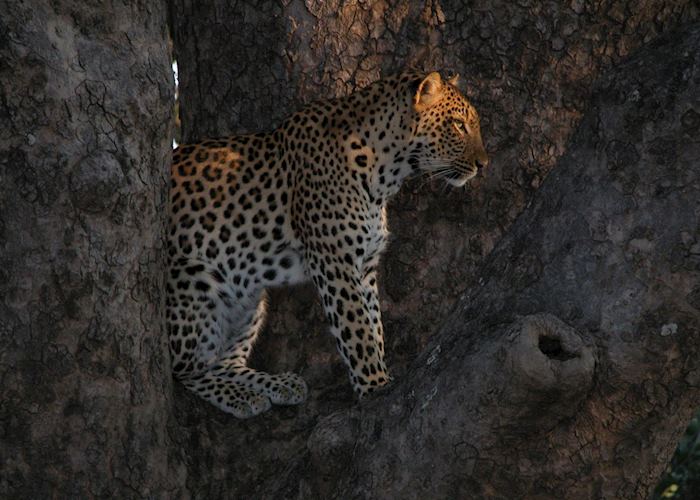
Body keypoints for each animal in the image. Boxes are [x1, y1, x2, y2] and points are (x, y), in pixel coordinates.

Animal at [167, 69, 490, 414]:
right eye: (459, 125)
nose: (483, 164)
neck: (385, 173)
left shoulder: (364, 266)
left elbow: (374, 324)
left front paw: (382, 375)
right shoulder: (334, 261)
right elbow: (356, 330)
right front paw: (374, 385)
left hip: (250, 300)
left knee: (225, 364)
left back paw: (277, 384)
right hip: (194, 284)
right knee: (186, 370)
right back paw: (240, 396)